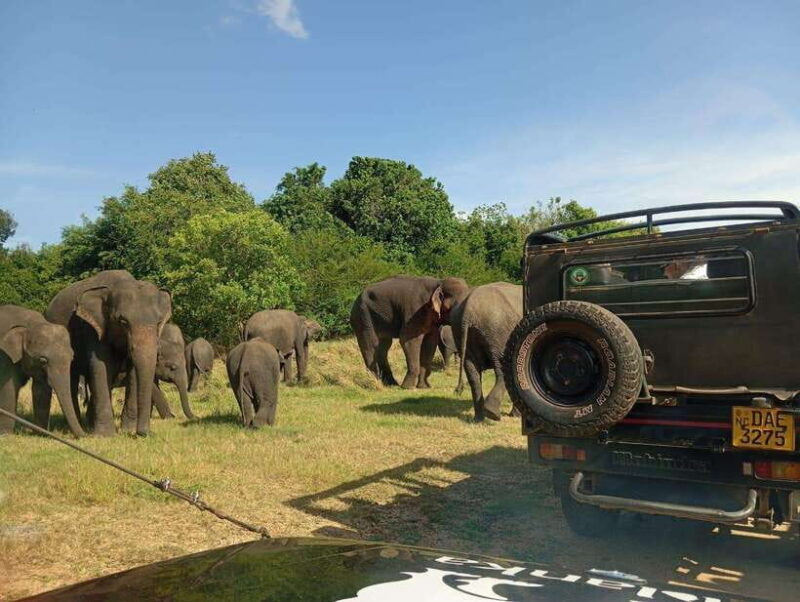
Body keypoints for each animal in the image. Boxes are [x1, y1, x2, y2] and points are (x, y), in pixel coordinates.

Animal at [0, 305, 85, 437]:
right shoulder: (6, 356)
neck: (31, 325)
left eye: (72, 358)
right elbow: (9, 388)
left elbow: (41, 390)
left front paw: (41, 433)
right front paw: (6, 434)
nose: (86, 435)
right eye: (43, 361)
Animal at [45, 270, 172, 437]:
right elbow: (100, 366)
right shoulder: (92, 328)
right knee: (71, 379)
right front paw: (105, 436)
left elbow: (132, 372)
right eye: (123, 322)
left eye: (158, 323)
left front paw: (127, 431)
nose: (145, 433)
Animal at [451, 282, 523, 422]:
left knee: (472, 374)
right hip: (498, 331)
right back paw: (492, 414)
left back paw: (479, 418)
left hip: (460, 331)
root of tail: (468, 308)